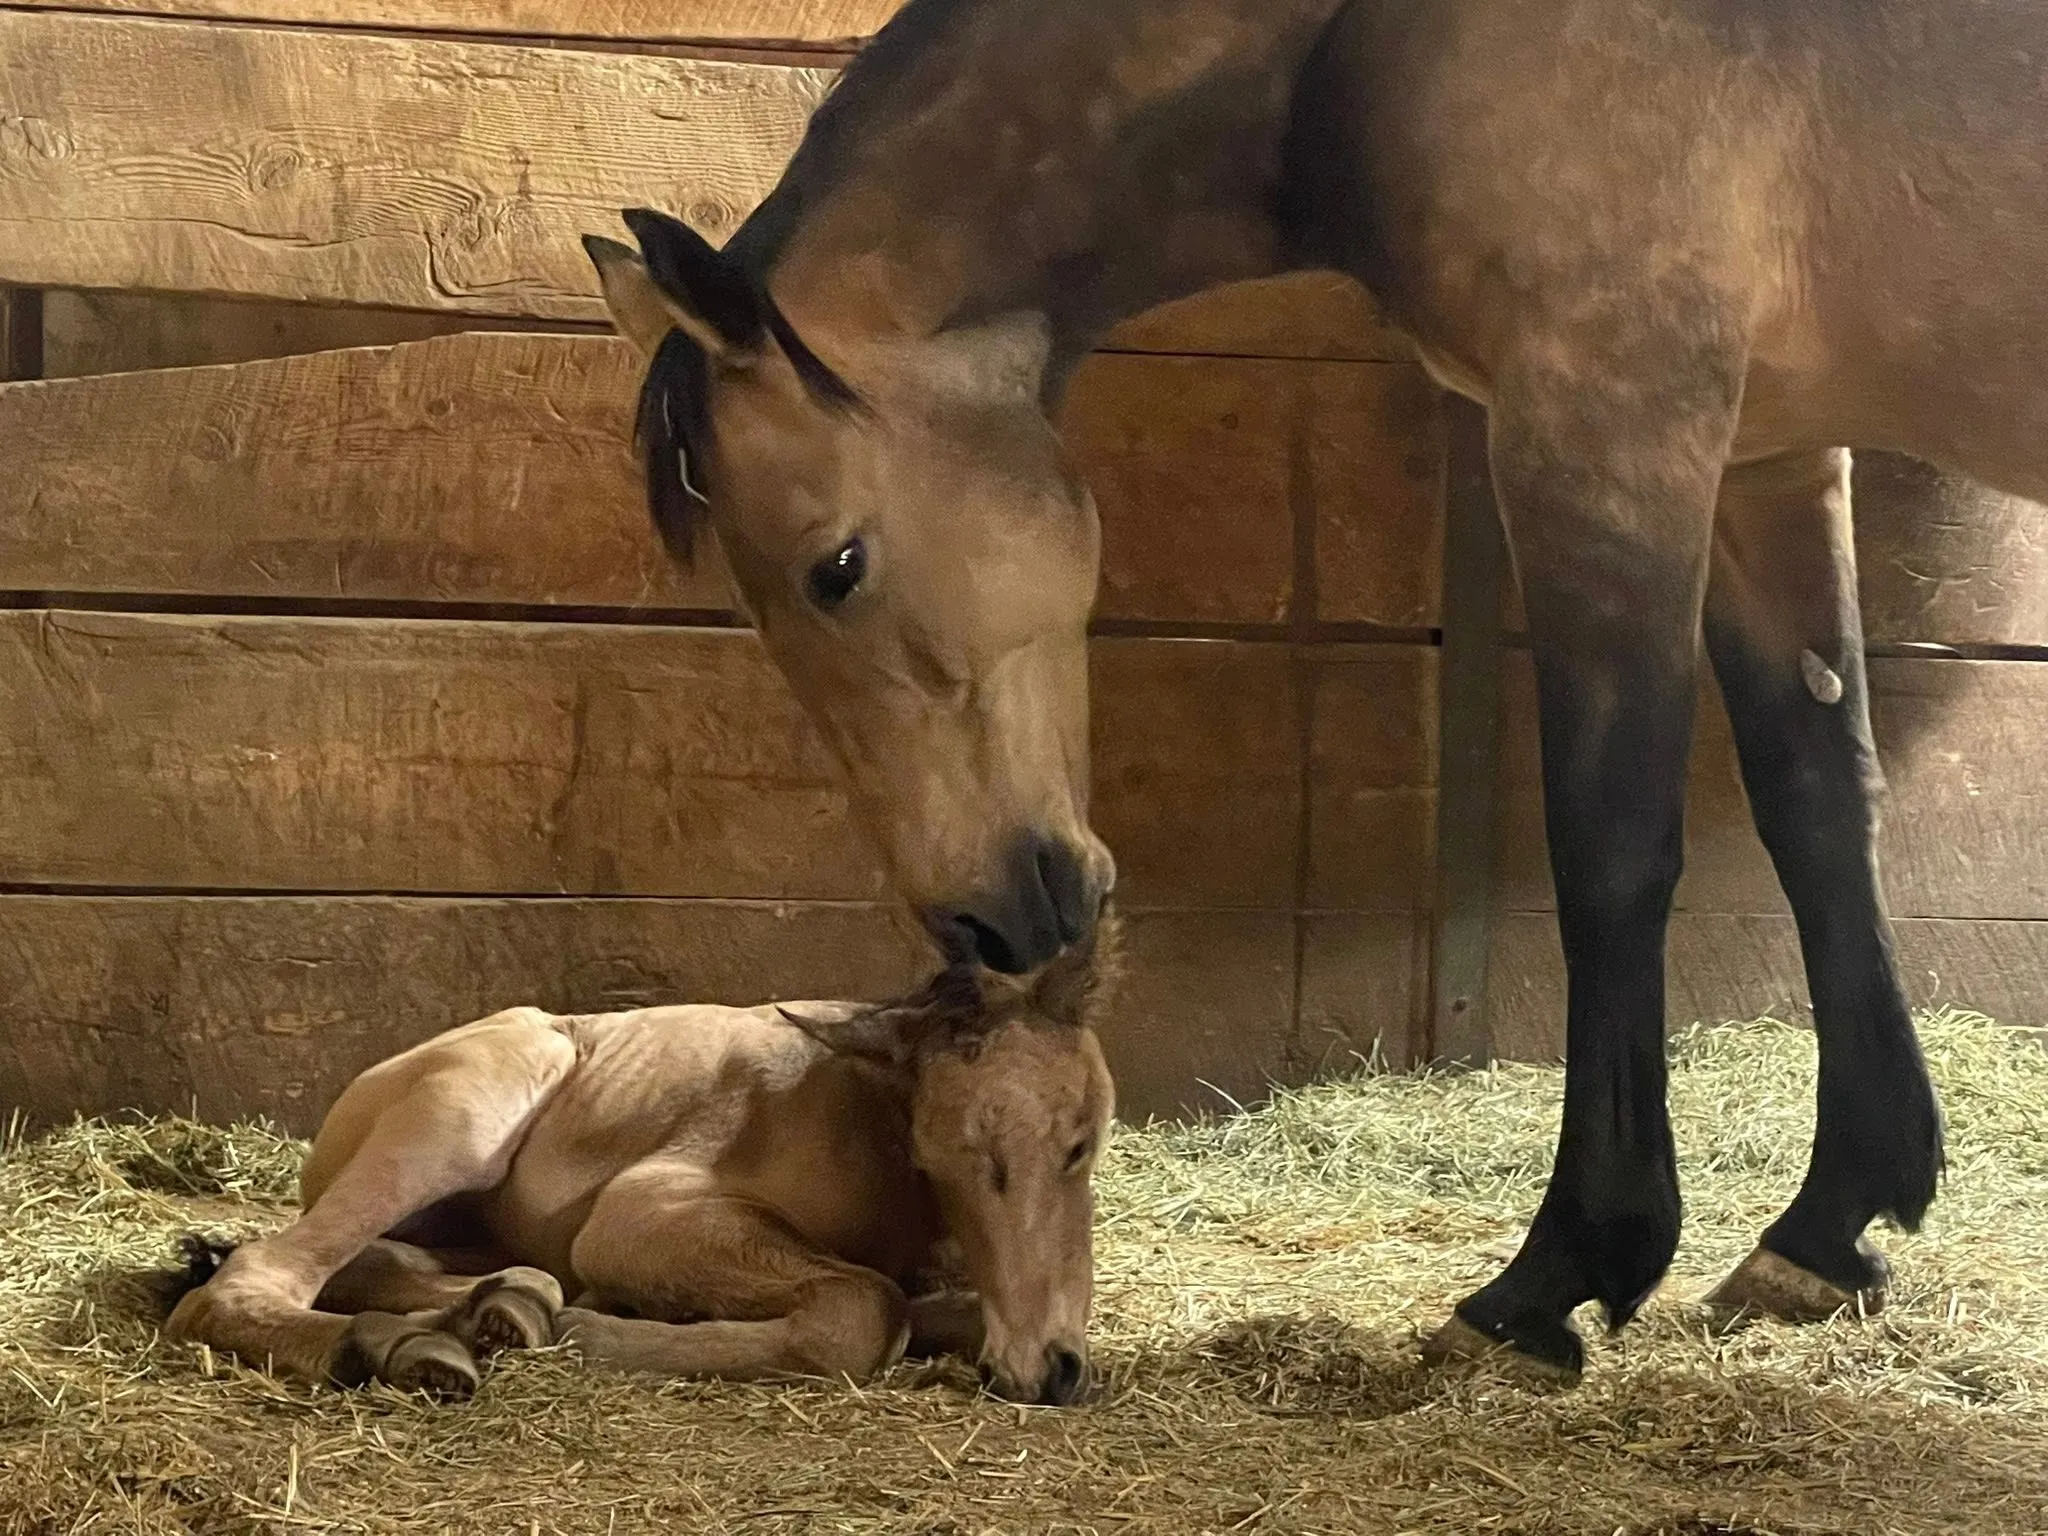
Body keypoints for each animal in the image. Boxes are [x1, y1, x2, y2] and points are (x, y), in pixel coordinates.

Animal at [161, 936, 1116, 1406]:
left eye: (1083, 1142)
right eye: (931, 1154)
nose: (1045, 1374)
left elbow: (928, 1307)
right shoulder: (639, 1213)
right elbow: (866, 1312)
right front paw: (594, 1332)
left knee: (380, 1259)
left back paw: (498, 1311)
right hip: (463, 1119)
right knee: (256, 1274)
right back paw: (405, 1345)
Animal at [575, 0, 2048, 1377]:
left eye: (836, 568)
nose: (988, 922)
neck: (1357, 36)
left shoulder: (1606, 438)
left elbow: (1612, 857)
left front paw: (1558, 1272)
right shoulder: (1764, 457)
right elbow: (1820, 809)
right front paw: (1829, 1227)